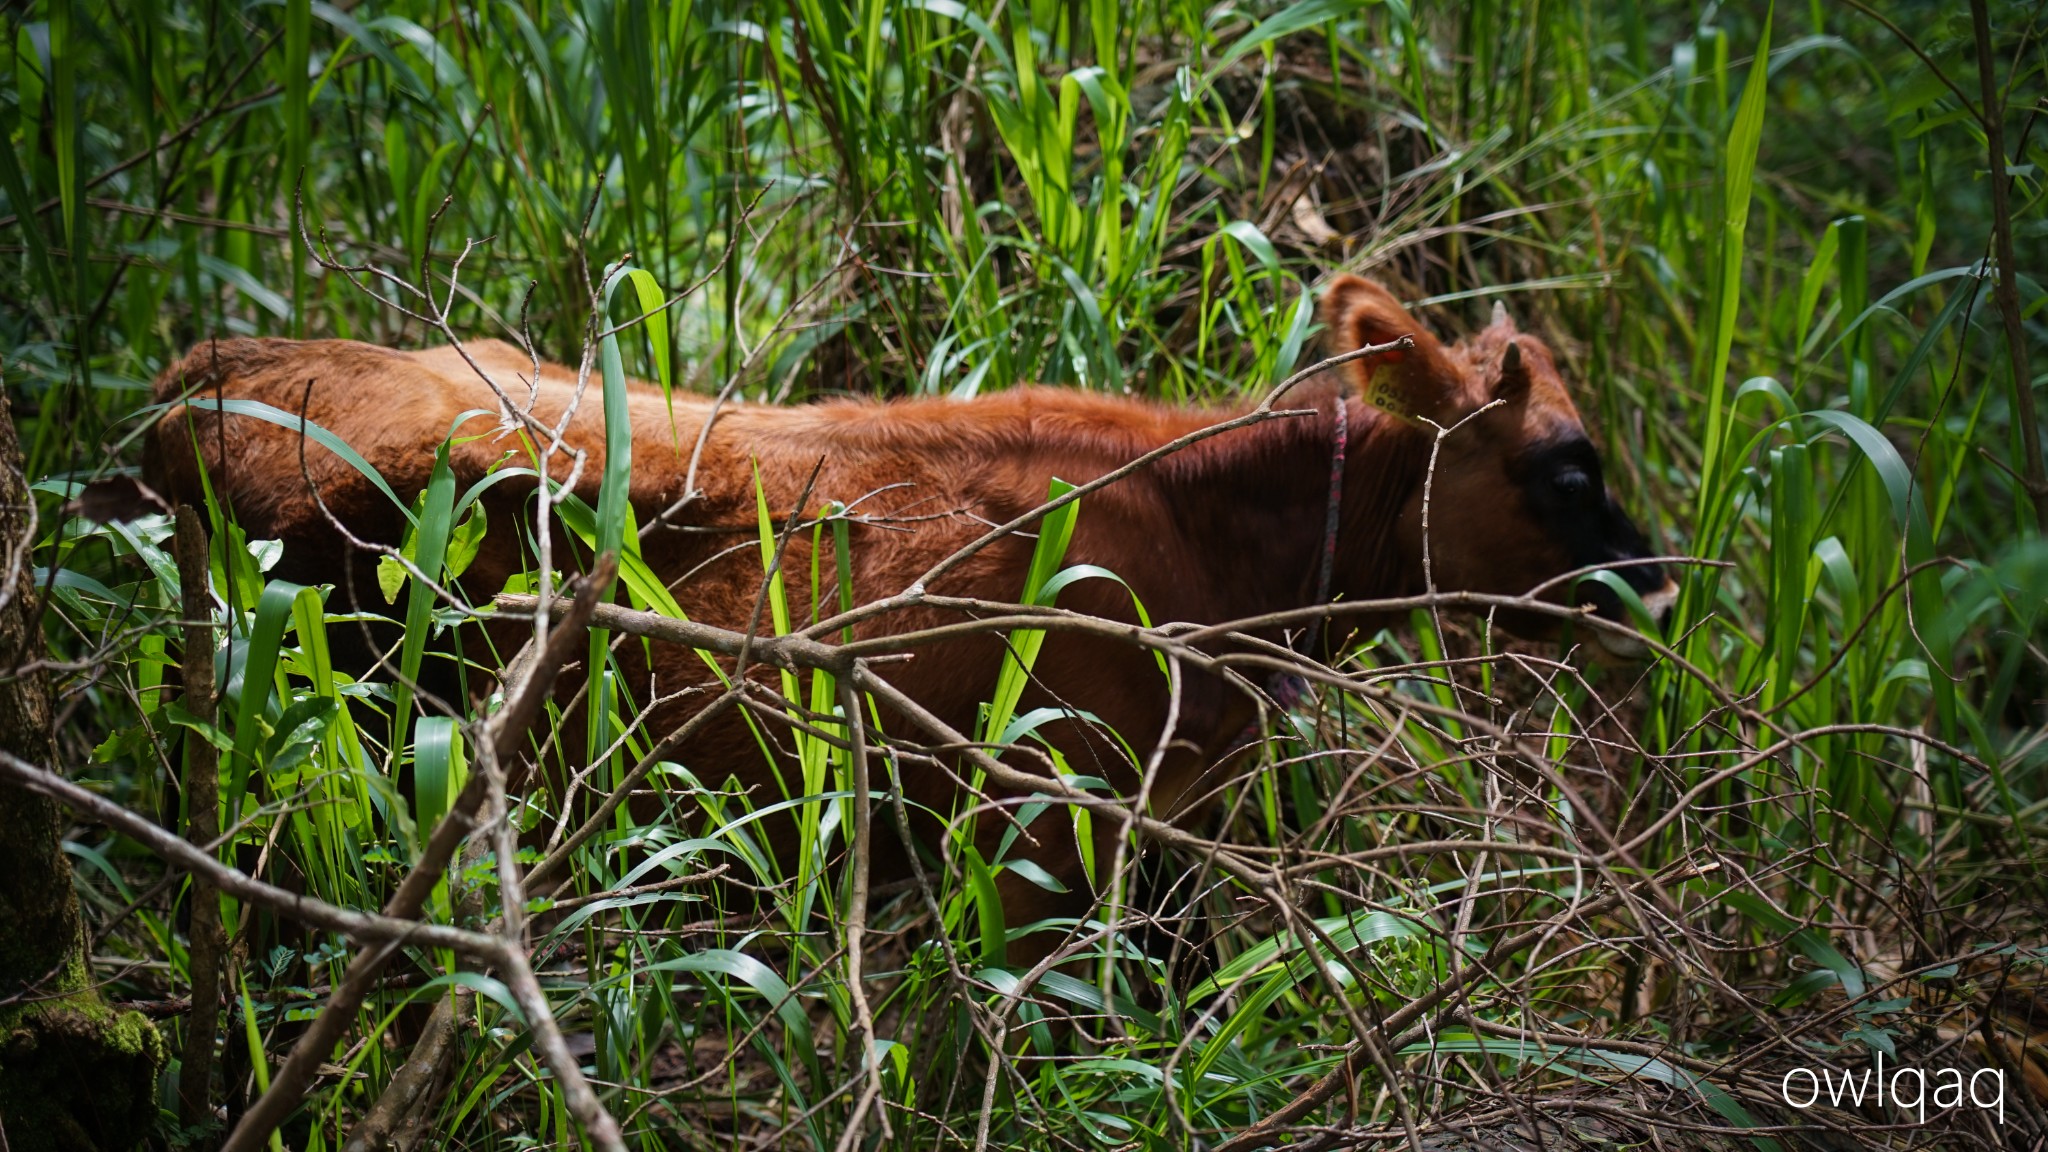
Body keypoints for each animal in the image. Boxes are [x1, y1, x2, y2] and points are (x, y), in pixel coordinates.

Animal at [148, 276, 1679, 951]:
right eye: (1567, 466)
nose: (1658, 586)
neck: (1208, 550)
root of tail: (214, 358)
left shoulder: (1171, 829)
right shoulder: (1041, 823)